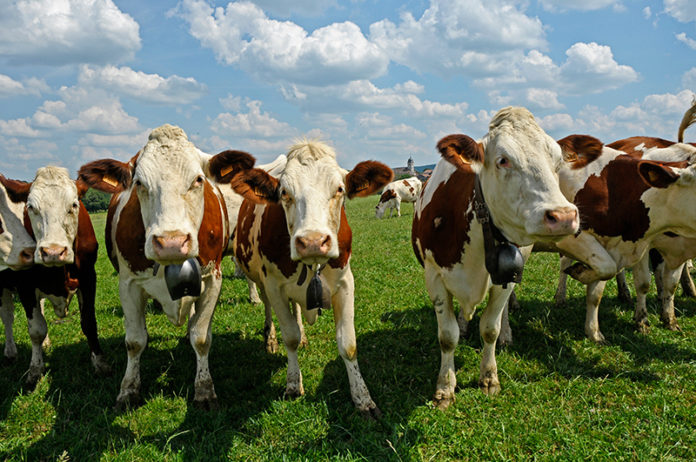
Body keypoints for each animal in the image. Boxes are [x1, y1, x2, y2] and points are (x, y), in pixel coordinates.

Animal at [0, 167, 111, 384]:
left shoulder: (88, 277)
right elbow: (35, 329)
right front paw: (35, 370)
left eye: (74, 204)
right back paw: (10, 351)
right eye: (31, 207)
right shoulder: (25, 285)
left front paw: (100, 364)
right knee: (7, 316)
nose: (52, 252)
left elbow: (89, 322)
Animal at [78, 124, 255, 410]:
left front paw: (204, 390)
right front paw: (128, 390)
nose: (171, 242)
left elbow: (201, 337)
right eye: (139, 183)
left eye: (198, 180)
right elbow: (134, 341)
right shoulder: (128, 285)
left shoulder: (212, 280)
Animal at [231, 139, 392, 417]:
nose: (313, 241)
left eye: (339, 189)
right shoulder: (274, 285)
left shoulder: (345, 283)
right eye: (285, 192)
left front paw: (362, 398)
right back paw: (270, 338)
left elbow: (348, 344)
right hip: (261, 280)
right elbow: (290, 337)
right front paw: (293, 384)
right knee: (269, 309)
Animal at [411, 107, 580, 410]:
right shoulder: (434, 277)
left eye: (558, 160)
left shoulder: (505, 275)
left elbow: (490, 327)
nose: (563, 216)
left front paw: (489, 378)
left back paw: (506, 334)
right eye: (503, 160)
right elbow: (447, 336)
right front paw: (445, 388)